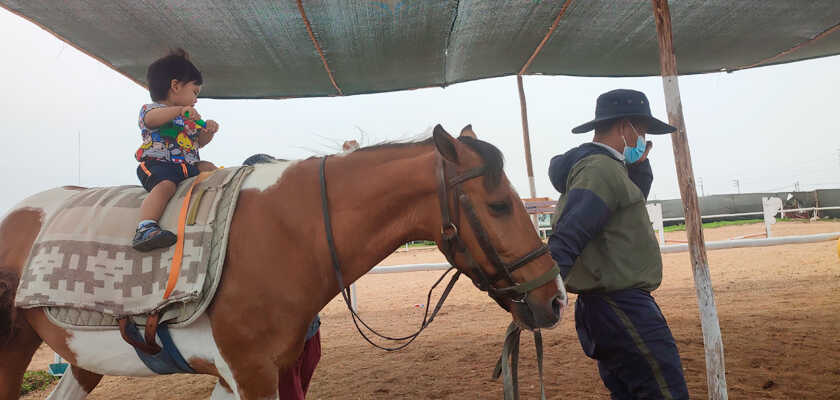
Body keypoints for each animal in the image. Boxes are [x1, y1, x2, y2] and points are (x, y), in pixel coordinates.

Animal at [0, 125, 566, 399]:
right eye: (500, 205)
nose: (555, 299)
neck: (285, 233)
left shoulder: (246, 375)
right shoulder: (251, 375)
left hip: (79, 360)